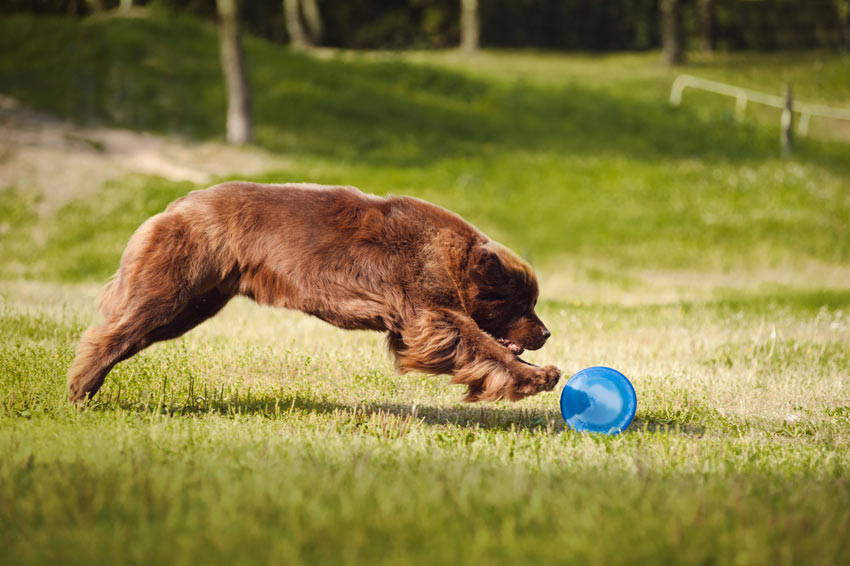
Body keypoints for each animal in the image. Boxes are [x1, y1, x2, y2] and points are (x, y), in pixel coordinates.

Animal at [66, 182, 556, 404]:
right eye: (524, 304)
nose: (547, 333)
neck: (452, 256)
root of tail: (179, 203)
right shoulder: (429, 304)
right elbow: (478, 341)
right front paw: (540, 376)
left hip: (197, 302)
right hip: (175, 283)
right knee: (117, 329)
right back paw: (78, 388)